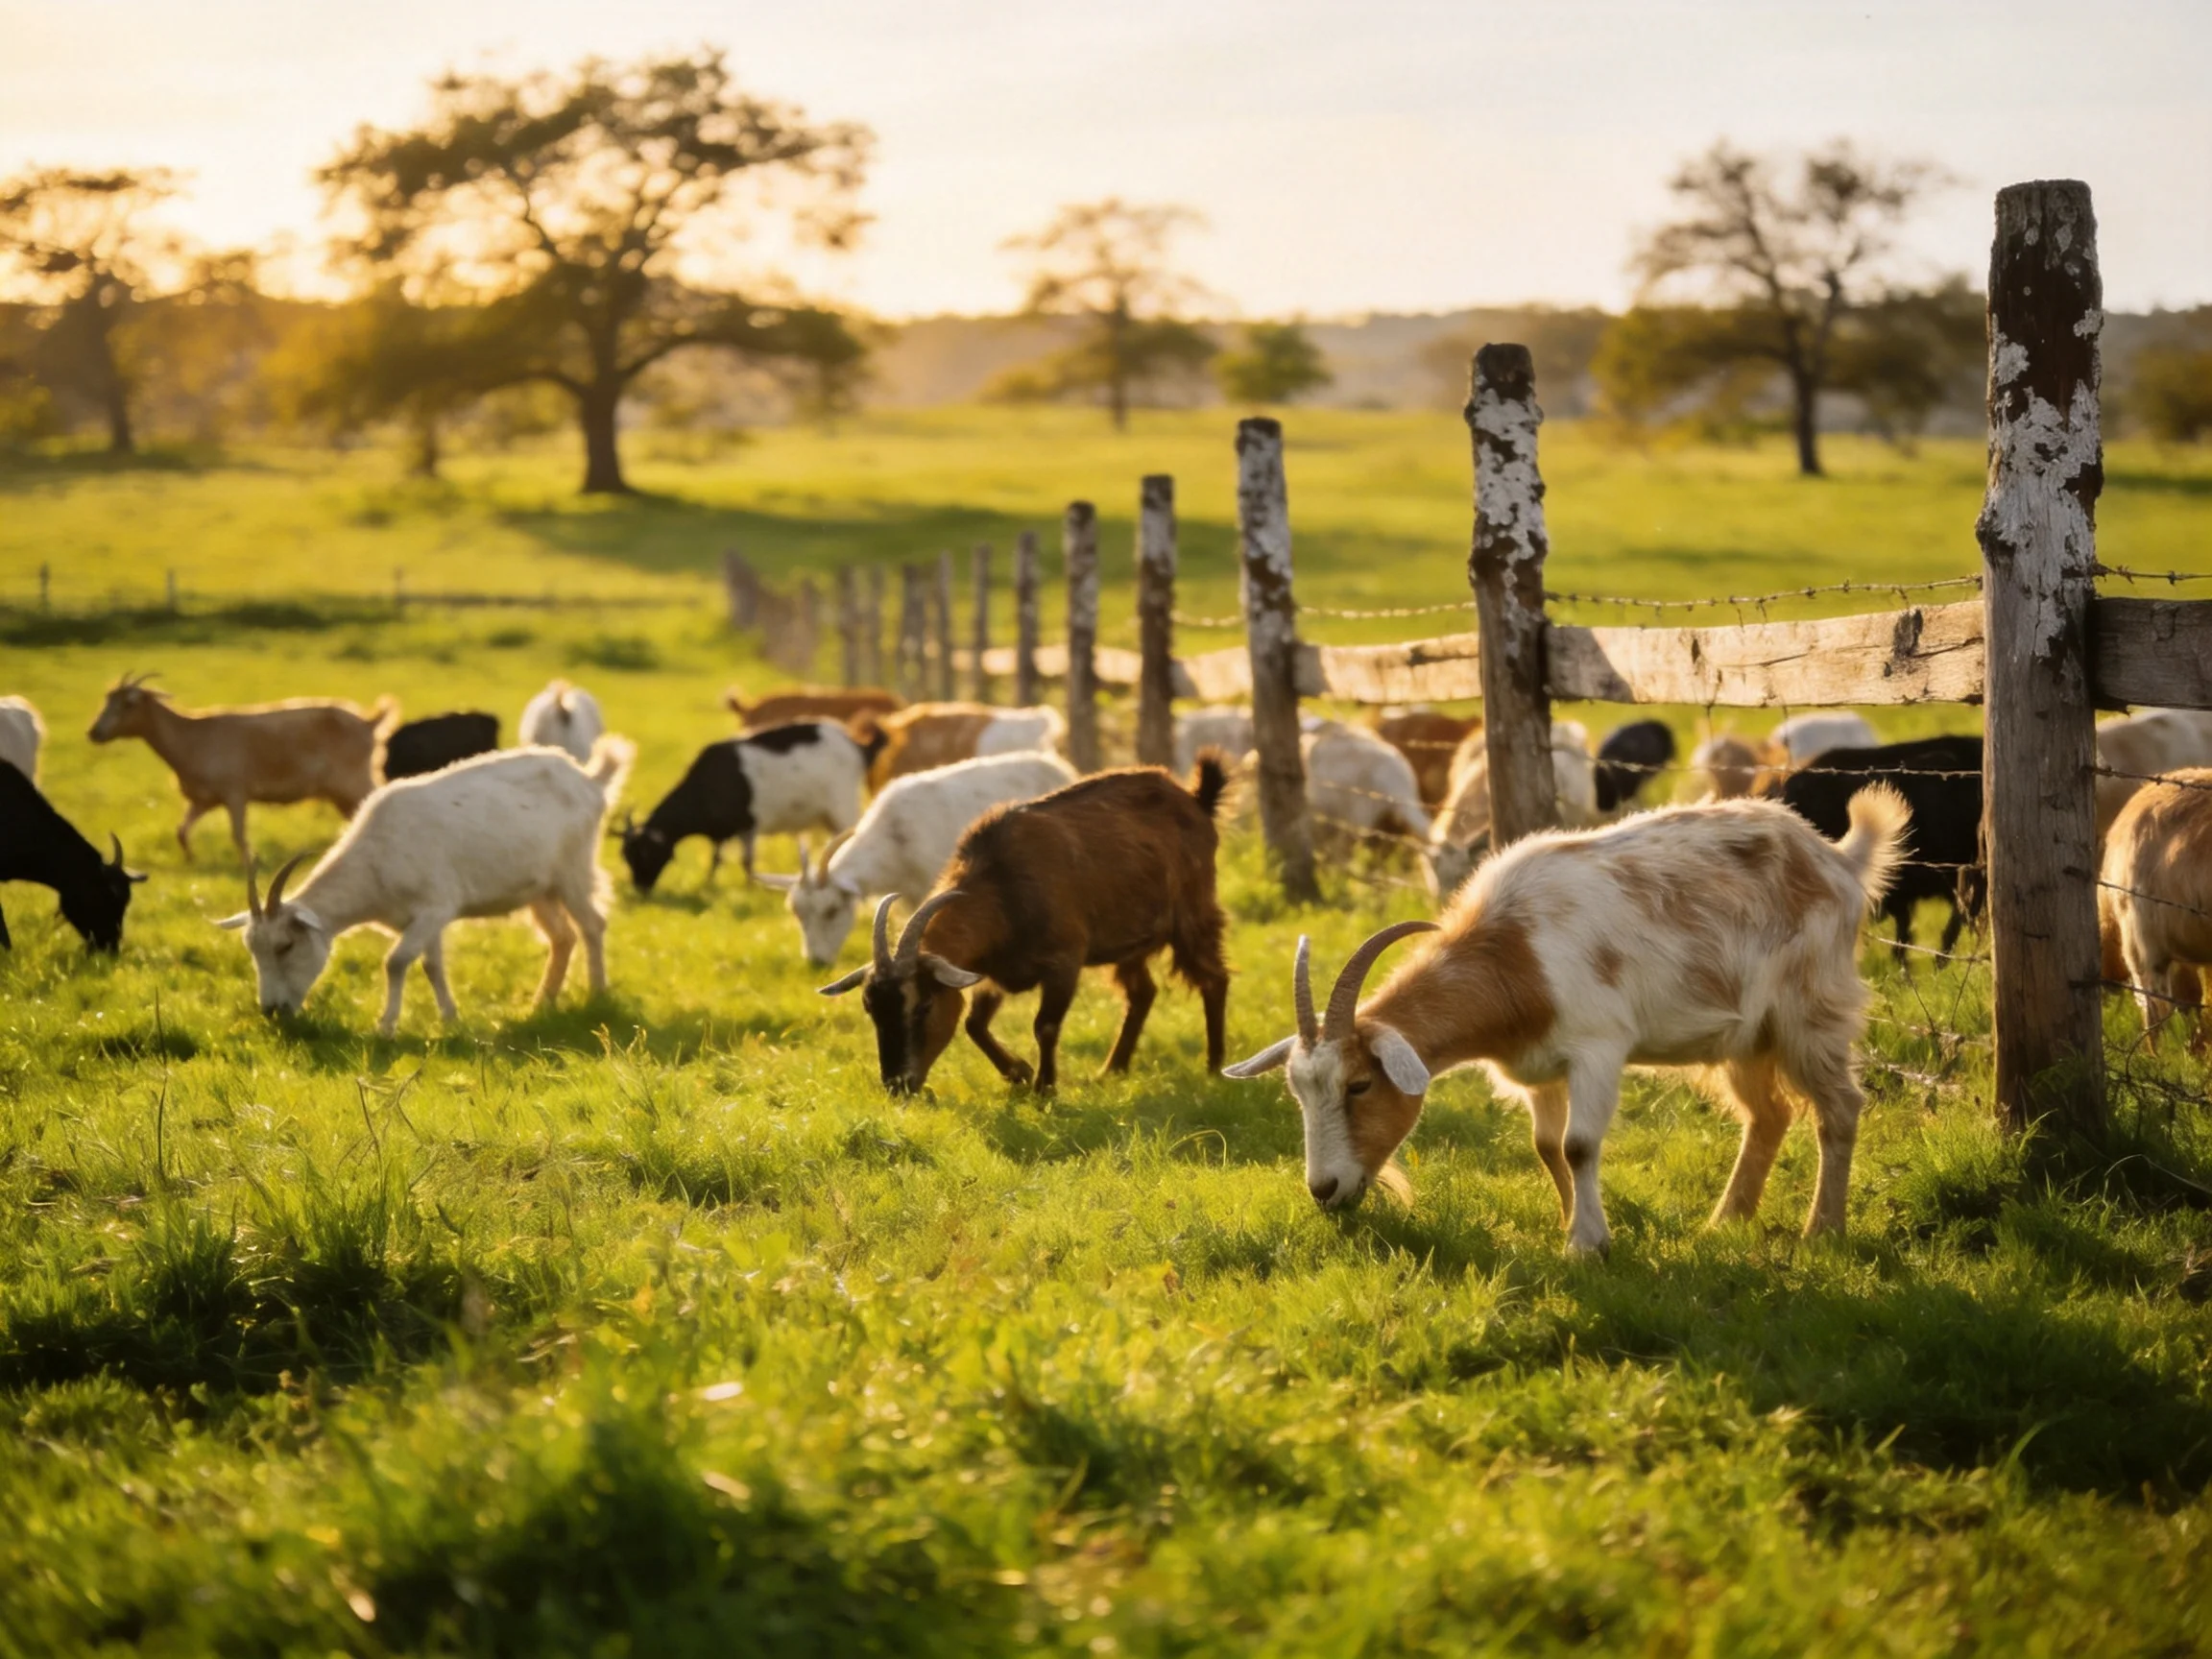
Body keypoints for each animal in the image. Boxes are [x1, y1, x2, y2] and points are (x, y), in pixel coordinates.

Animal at [88, 673, 395, 862]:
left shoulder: (235, 792)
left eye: (128, 704)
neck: (191, 736)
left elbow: (238, 836)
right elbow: (181, 831)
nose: (94, 732)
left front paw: (250, 865)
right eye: (107, 700)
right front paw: (190, 860)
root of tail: (370, 722)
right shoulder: (203, 799)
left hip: (354, 780)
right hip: (340, 793)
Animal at [216, 739, 633, 1034]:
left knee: (592, 925)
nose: (272, 1011)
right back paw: (540, 1004)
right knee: (563, 937)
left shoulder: (436, 907)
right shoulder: (423, 920)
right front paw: (450, 1019)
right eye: (252, 949)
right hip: (539, 890)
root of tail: (590, 780)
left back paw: (597, 994)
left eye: (285, 945)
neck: (377, 857)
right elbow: (432, 965)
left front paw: (386, 1027)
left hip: (573, 871)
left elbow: (396, 961)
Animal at [619, 721, 882, 893]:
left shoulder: (749, 824)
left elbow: (746, 861)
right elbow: (717, 859)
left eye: (645, 853)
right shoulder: (722, 832)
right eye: (626, 856)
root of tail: (859, 748)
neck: (706, 784)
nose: (640, 889)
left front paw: (750, 887)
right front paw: (709, 884)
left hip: (843, 804)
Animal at [820, 758, 1231, 1094]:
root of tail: (1195, 799)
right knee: (1142, 993)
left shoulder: (1064, 961)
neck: (1004, 886)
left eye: (923, 1005)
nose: (898, 1085)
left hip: (1193, 916)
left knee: (1214, 979)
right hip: (1128, 940)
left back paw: (1214, 1068)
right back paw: (1111, 1070)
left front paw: (1044, 1088)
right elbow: (974, 1024)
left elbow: (1044, 1026)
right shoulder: (990, 974)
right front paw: (1019, 1072)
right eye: (870, 1008)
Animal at [1226, 789, 1907, 1255]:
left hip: (1808, 1015)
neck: (1516, 954)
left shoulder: (1597, 1049)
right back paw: (1724, 1222)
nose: (1324, 1190)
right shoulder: (1540, 1069)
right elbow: (1547, 1147)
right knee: (1769, 1115)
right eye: (1298, 1092)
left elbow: (1580, 1145)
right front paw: (1566, 1224)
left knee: (1839, 1107)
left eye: (1360, 1084)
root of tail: (1837, 860)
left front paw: (1587, 1244)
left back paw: (1823, 1230)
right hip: (1745, 1039)